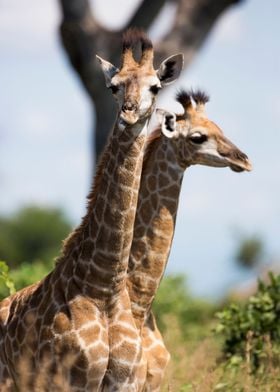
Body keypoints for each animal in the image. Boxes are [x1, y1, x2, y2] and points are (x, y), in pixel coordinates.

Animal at [0, 31, 184, 392]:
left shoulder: (125, 383)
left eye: (155, 86)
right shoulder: (70, 382)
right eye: (114, 86)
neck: (103, 289)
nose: (129, 115)